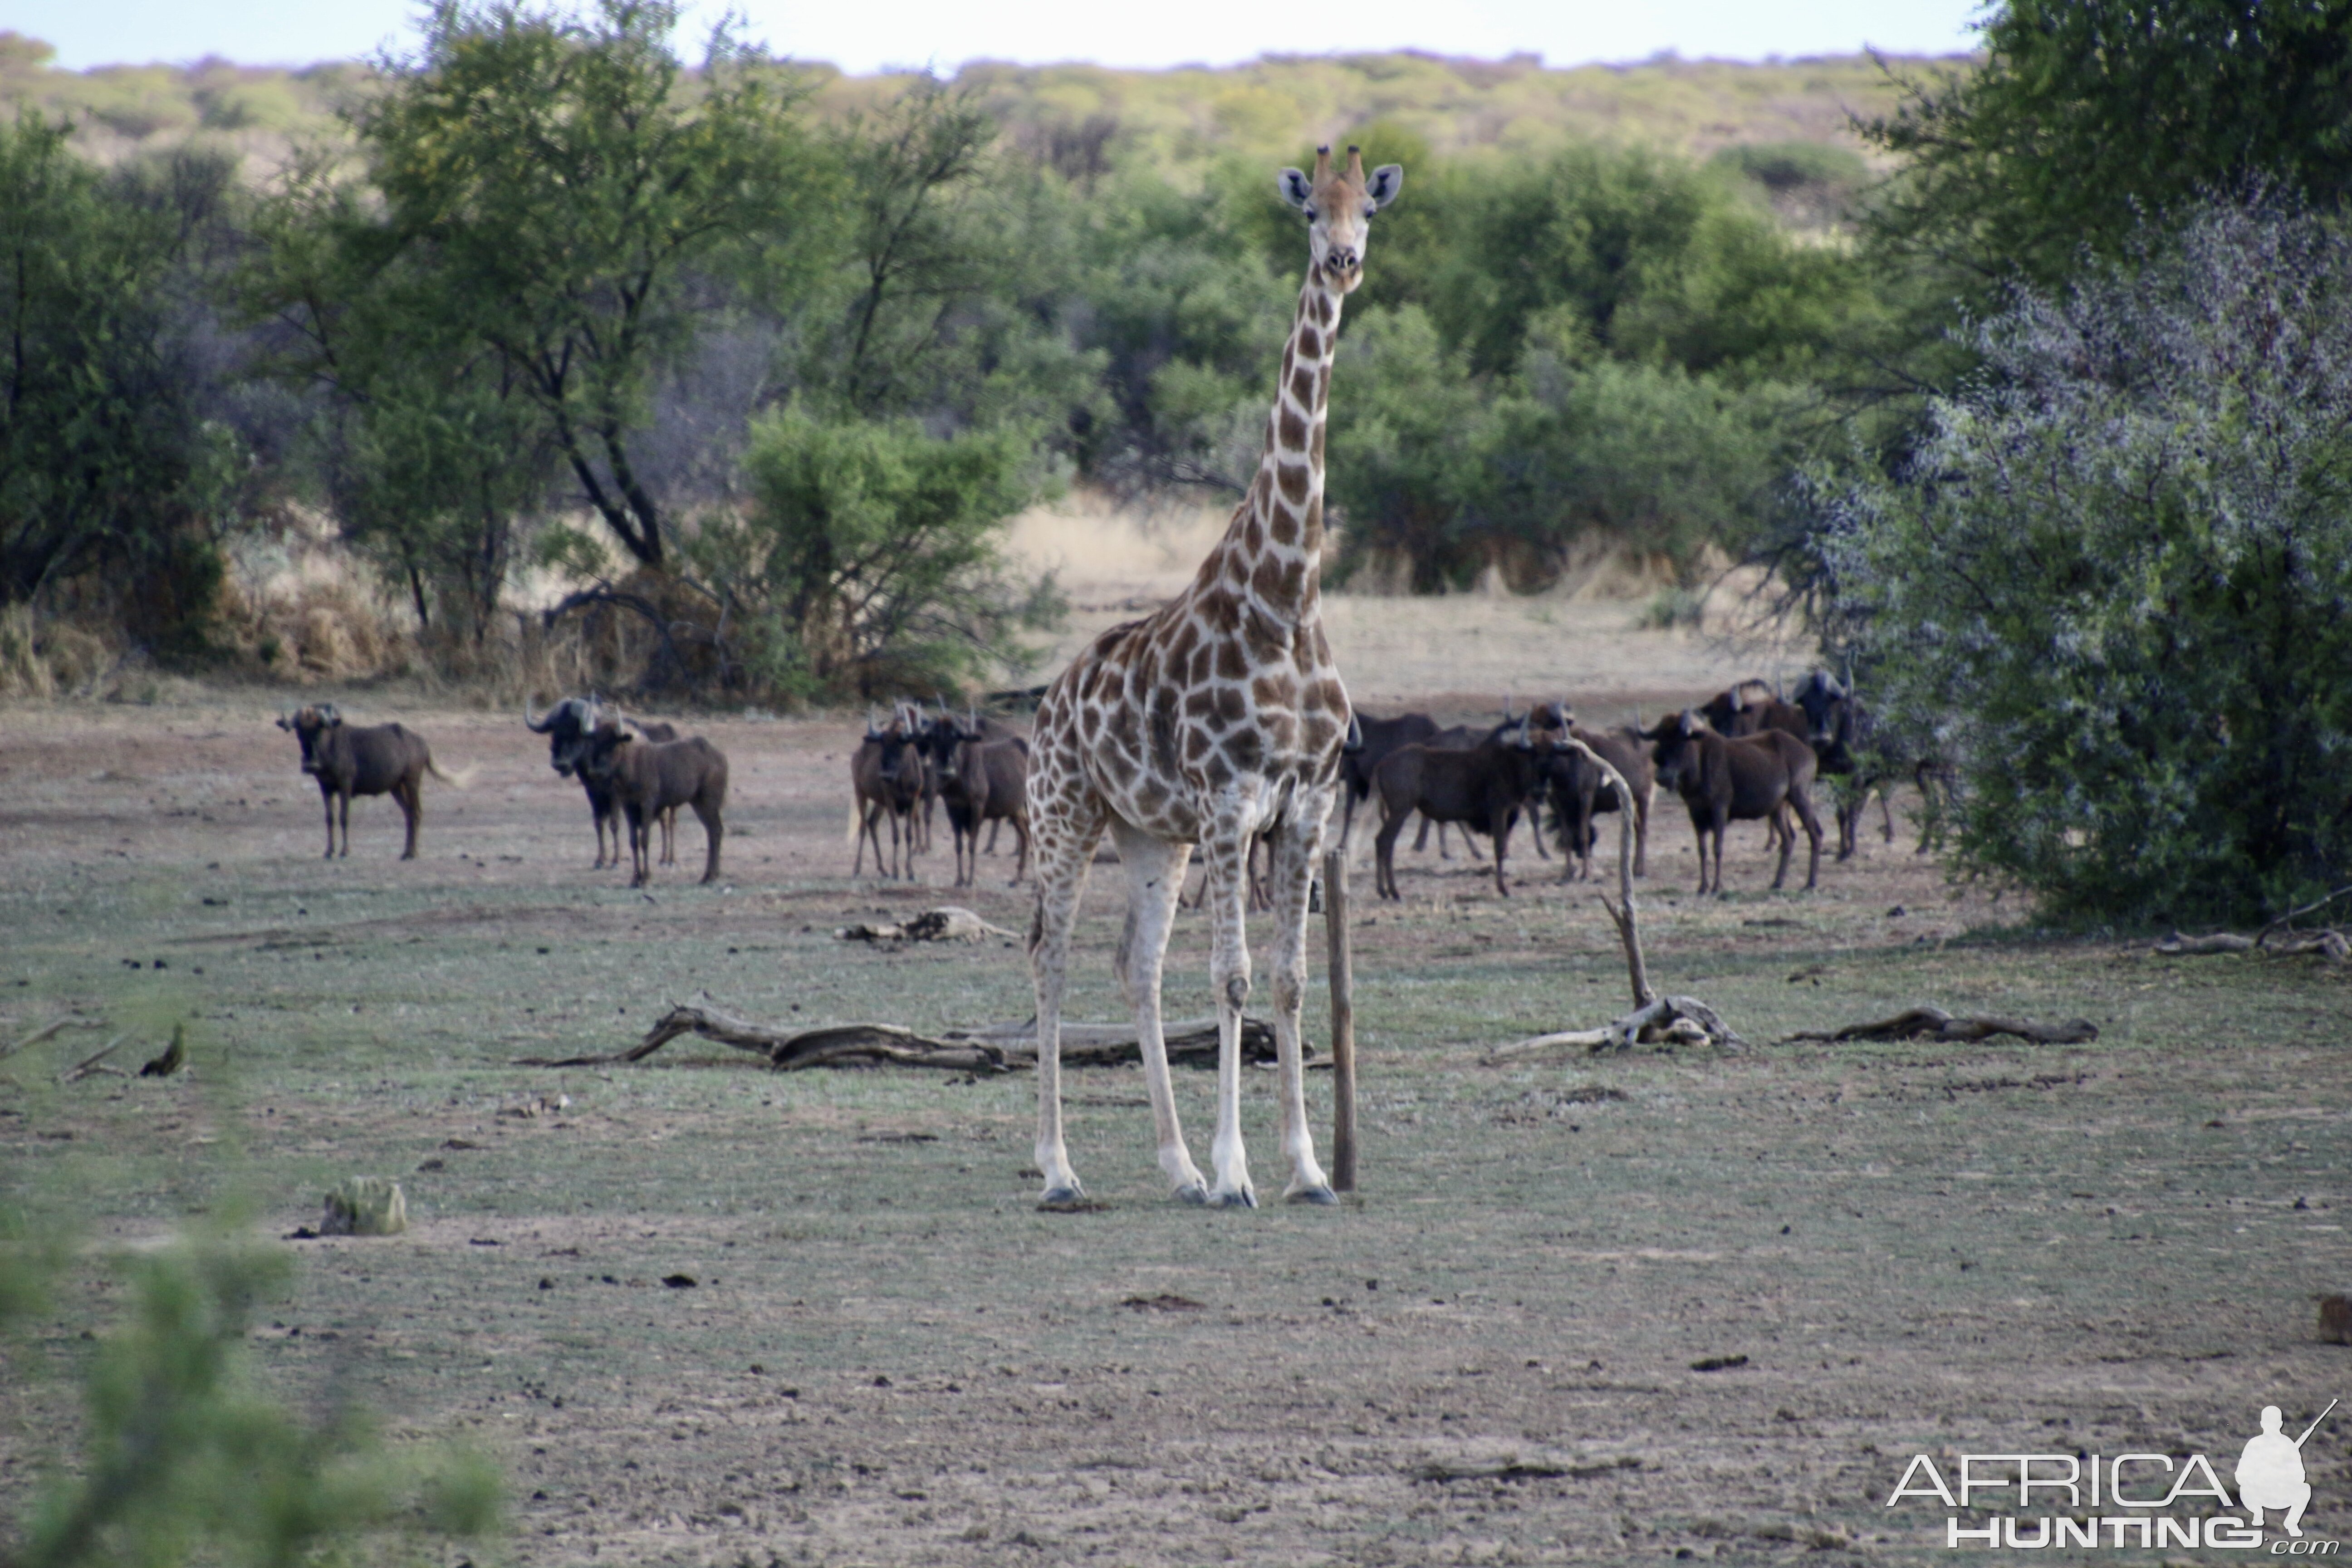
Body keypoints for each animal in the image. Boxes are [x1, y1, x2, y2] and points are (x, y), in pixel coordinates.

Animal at [1025, 147, 1392, 1213]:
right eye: (1310, 210)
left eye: (1370, 209)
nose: (1344, 262)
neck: (1285, 598)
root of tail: (1049, 701)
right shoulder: (1232, 800)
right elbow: (1230, 979)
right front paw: (1239, 1172)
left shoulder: (1305, 803)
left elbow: (1289, 981)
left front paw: (1304, 1169)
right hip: (1066, 813)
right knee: (1049, 953)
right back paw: (1059, 1168)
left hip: (1152, 834)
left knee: (1133, 965)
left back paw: (1176, 1167)